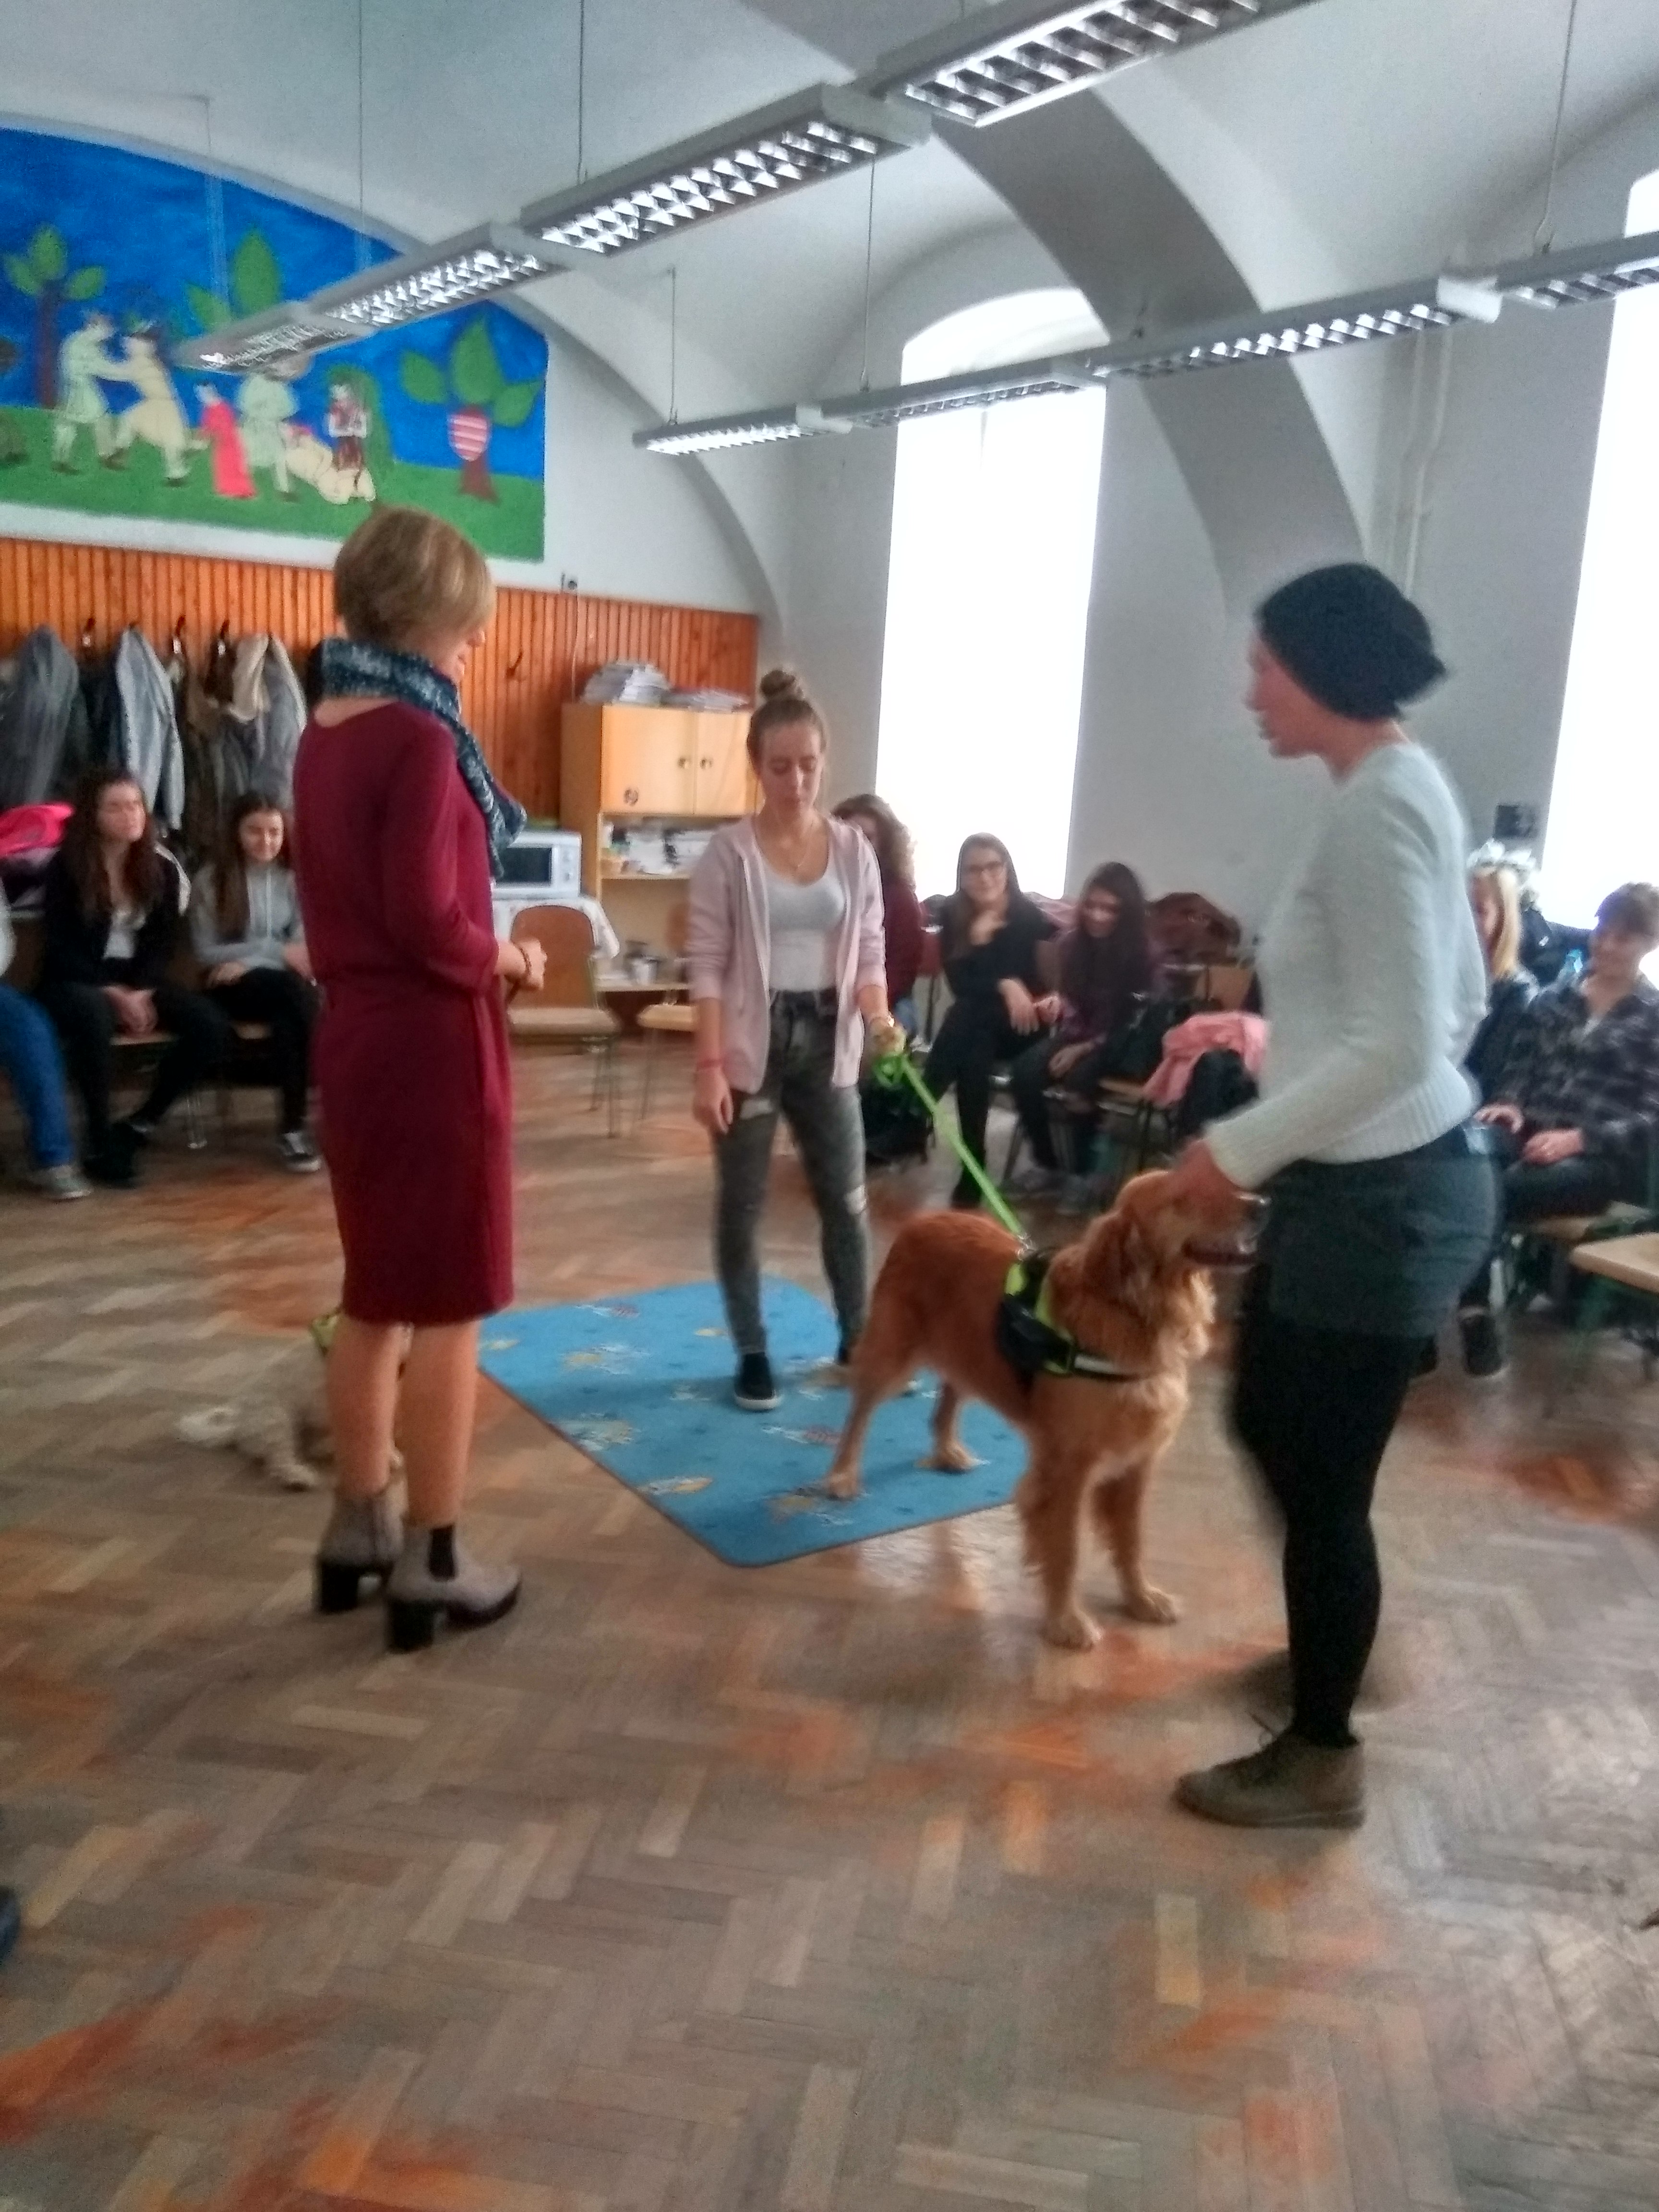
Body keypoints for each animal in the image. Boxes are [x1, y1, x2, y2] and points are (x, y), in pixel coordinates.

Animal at [825, 1172, 1220, 1649]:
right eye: (1183, 1198)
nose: (1259, 1206)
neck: (1135, 1311)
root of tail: (927, 1219)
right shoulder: (1069, 1468)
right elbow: (1066, 1548)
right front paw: (1066, 1621)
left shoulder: (1137, 1463)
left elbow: (1131, 1541)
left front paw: (1141, 1598)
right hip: (894, 1351)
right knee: (859, 1413)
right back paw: (843, 1474)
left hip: (972, 1349)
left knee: (948, 1399)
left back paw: (946, 1450)